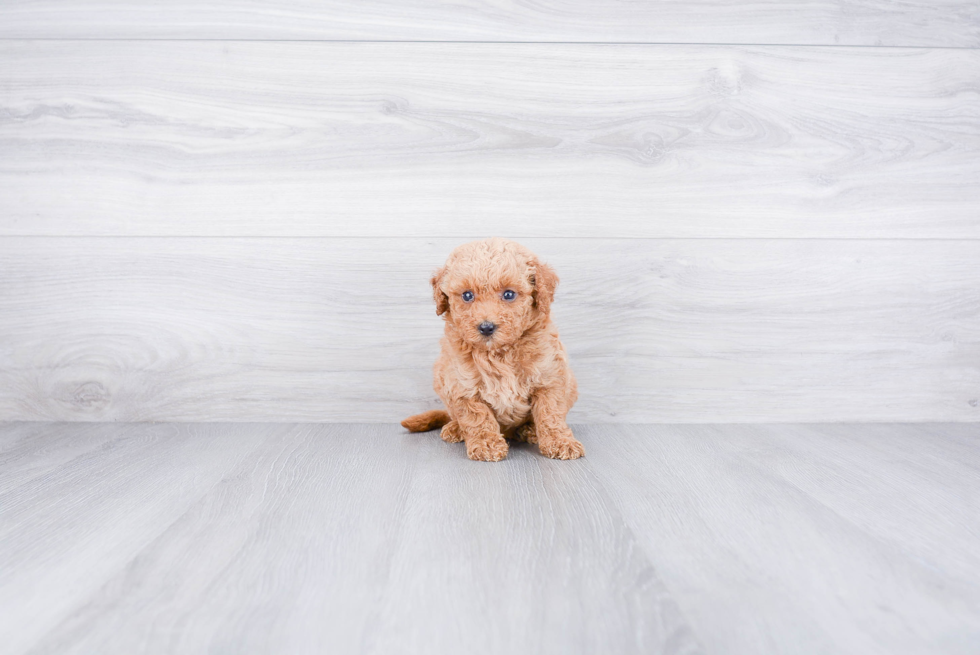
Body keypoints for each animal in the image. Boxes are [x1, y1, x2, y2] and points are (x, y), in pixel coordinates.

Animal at [400, 240, 580, 462]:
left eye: (509, 294)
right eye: (467, 295)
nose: (486, 327)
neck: (498, 353)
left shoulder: (549, 378)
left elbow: (550, 413)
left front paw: (560, 441)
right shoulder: (463, 385)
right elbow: (477, 416)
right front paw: (487, 444)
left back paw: (530, 430)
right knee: (454, 415)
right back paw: (455, 428)